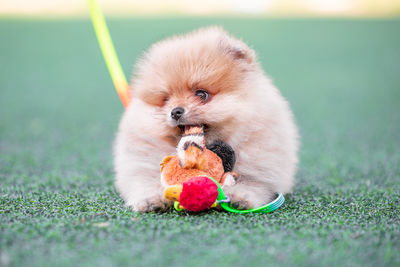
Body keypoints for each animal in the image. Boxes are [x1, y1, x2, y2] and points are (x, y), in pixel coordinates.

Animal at [114, 26, 298, 213]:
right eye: (165, 100)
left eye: (202, 94)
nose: (175, 111)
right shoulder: (141, 163)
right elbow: (145, 181)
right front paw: (152, 200)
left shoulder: (260, 164)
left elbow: (251, 183)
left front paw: (238, 198)